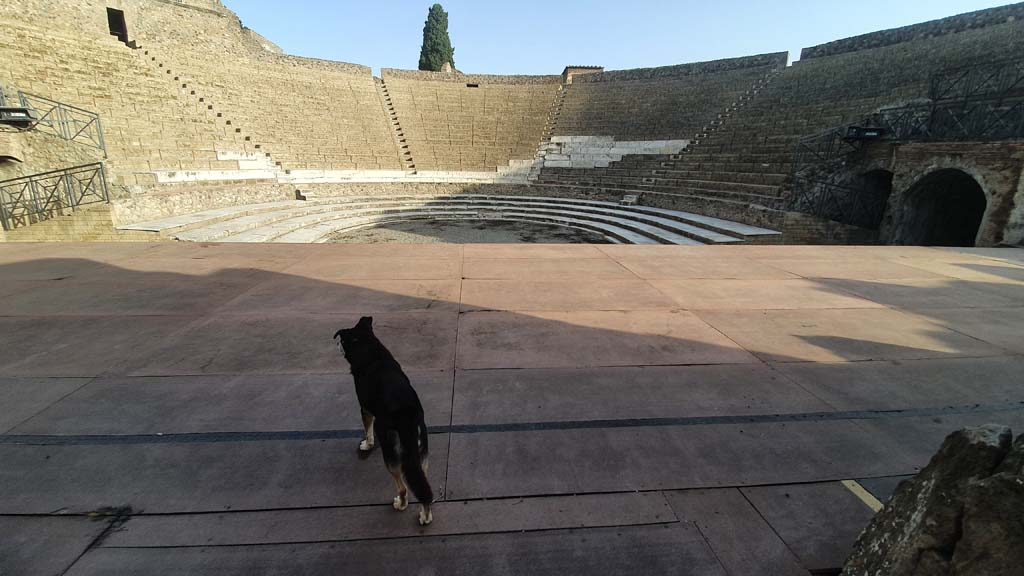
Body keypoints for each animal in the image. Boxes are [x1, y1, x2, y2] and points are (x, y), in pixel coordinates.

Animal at [333, 315, 434, 522]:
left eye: (341, 339)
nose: (336, 344)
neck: (368, 348)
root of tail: (407, 417)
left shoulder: (365, 408)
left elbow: (367, 429)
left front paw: (367, 444)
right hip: (422, 447)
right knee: (422, 485)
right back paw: (425, 515)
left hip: (391, 450)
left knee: (403, 487)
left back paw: (401, 504)